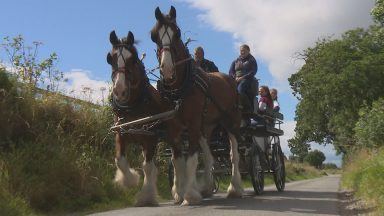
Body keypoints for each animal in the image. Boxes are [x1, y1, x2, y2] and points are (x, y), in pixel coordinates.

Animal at [150, 5, 243, 204]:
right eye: (154, 35)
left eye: (177, 33)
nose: (167, 69)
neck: (180, 88)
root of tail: (229, 79)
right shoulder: (173, 126)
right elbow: (177, 160)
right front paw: (178, 192)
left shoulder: (192, 124)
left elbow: (191, 159)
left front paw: (190, 194)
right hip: (207, 125)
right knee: (209, 156)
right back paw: (207, 187)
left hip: (231, 122)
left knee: (234, 154)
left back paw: (235, 188)